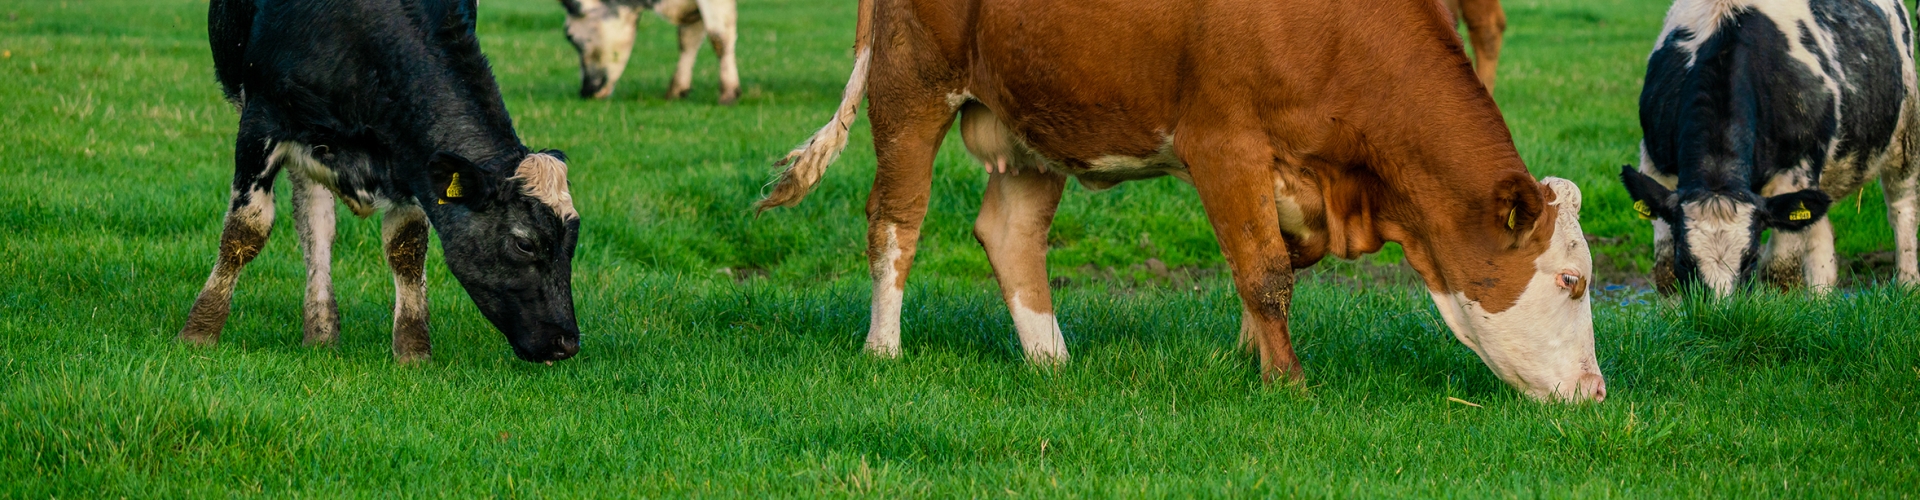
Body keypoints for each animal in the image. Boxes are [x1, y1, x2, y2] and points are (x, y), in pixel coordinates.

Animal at [190, 0, 583, 362]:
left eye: (573, 242)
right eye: (525, 244)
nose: (567, 342)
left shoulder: (410, 157)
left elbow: (407, 250)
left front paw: (412, 350)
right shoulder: (261, 122)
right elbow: (245, 230)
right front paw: (200, 330)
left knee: (315, 222)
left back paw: (320, 332)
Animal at [559, 0, 740, 104]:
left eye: (569, 36)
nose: (586, 91)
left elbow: (719, 37)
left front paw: (728, 92)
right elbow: (688, 39)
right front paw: (677, 89)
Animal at [757, 0, 1607, 401]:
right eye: (1573, 280)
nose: (1596, 393)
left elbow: (1269, 264)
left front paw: (1248, 356)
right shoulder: (1223, 140)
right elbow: (1265, 272)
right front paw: (1287, 383)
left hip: (1036, 116)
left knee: (1009, 233)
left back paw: (1052, 360)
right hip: (911, 88)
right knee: (895, 219)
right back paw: (884, 349)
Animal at [1620, 0, 1919, 297]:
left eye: (1750, 260)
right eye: (1685, 260)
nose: (1718, 310)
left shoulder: (1795, 173)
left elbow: (1780, 271)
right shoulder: (1658, 170)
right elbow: (1665, 272)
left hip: (1906, 137)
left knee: (1902, 210)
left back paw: (1907, 285)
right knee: (1819, 234)